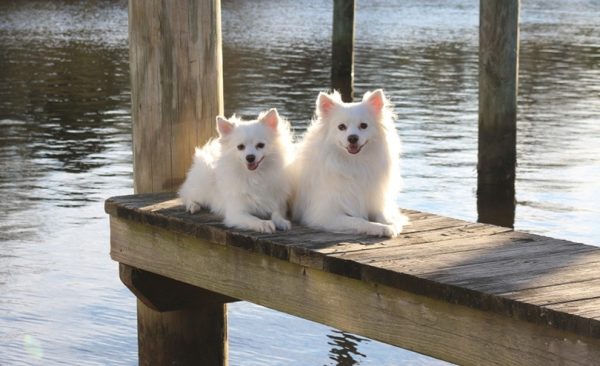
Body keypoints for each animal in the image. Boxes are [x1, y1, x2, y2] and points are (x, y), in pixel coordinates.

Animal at [290, 89, 408, 237]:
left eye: (363, 126)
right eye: (341, 127)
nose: (352, 138)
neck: (354, 162)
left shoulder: (374, 202)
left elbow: (384, 215)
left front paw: (391, 223)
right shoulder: (324, 215)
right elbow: (358, 220)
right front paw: (380, 228)